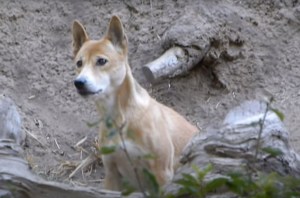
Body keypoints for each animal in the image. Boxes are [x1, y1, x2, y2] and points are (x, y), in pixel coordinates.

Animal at [70, 15, 197, 192]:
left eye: (101, 61)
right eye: (79, 63)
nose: (79, 82)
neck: (120, 117)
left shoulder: (162, 173)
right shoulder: (111, 174)